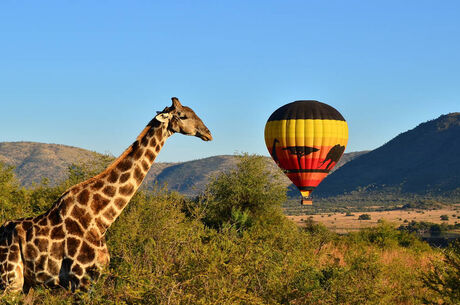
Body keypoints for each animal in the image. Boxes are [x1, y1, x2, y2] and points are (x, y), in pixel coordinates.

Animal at [0, 97, 212, 292]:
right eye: (183, 115)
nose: (208, 133)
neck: (100, 218)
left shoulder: (95, 277)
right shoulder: (81, 279)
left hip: (28, 284)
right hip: (10, 280)